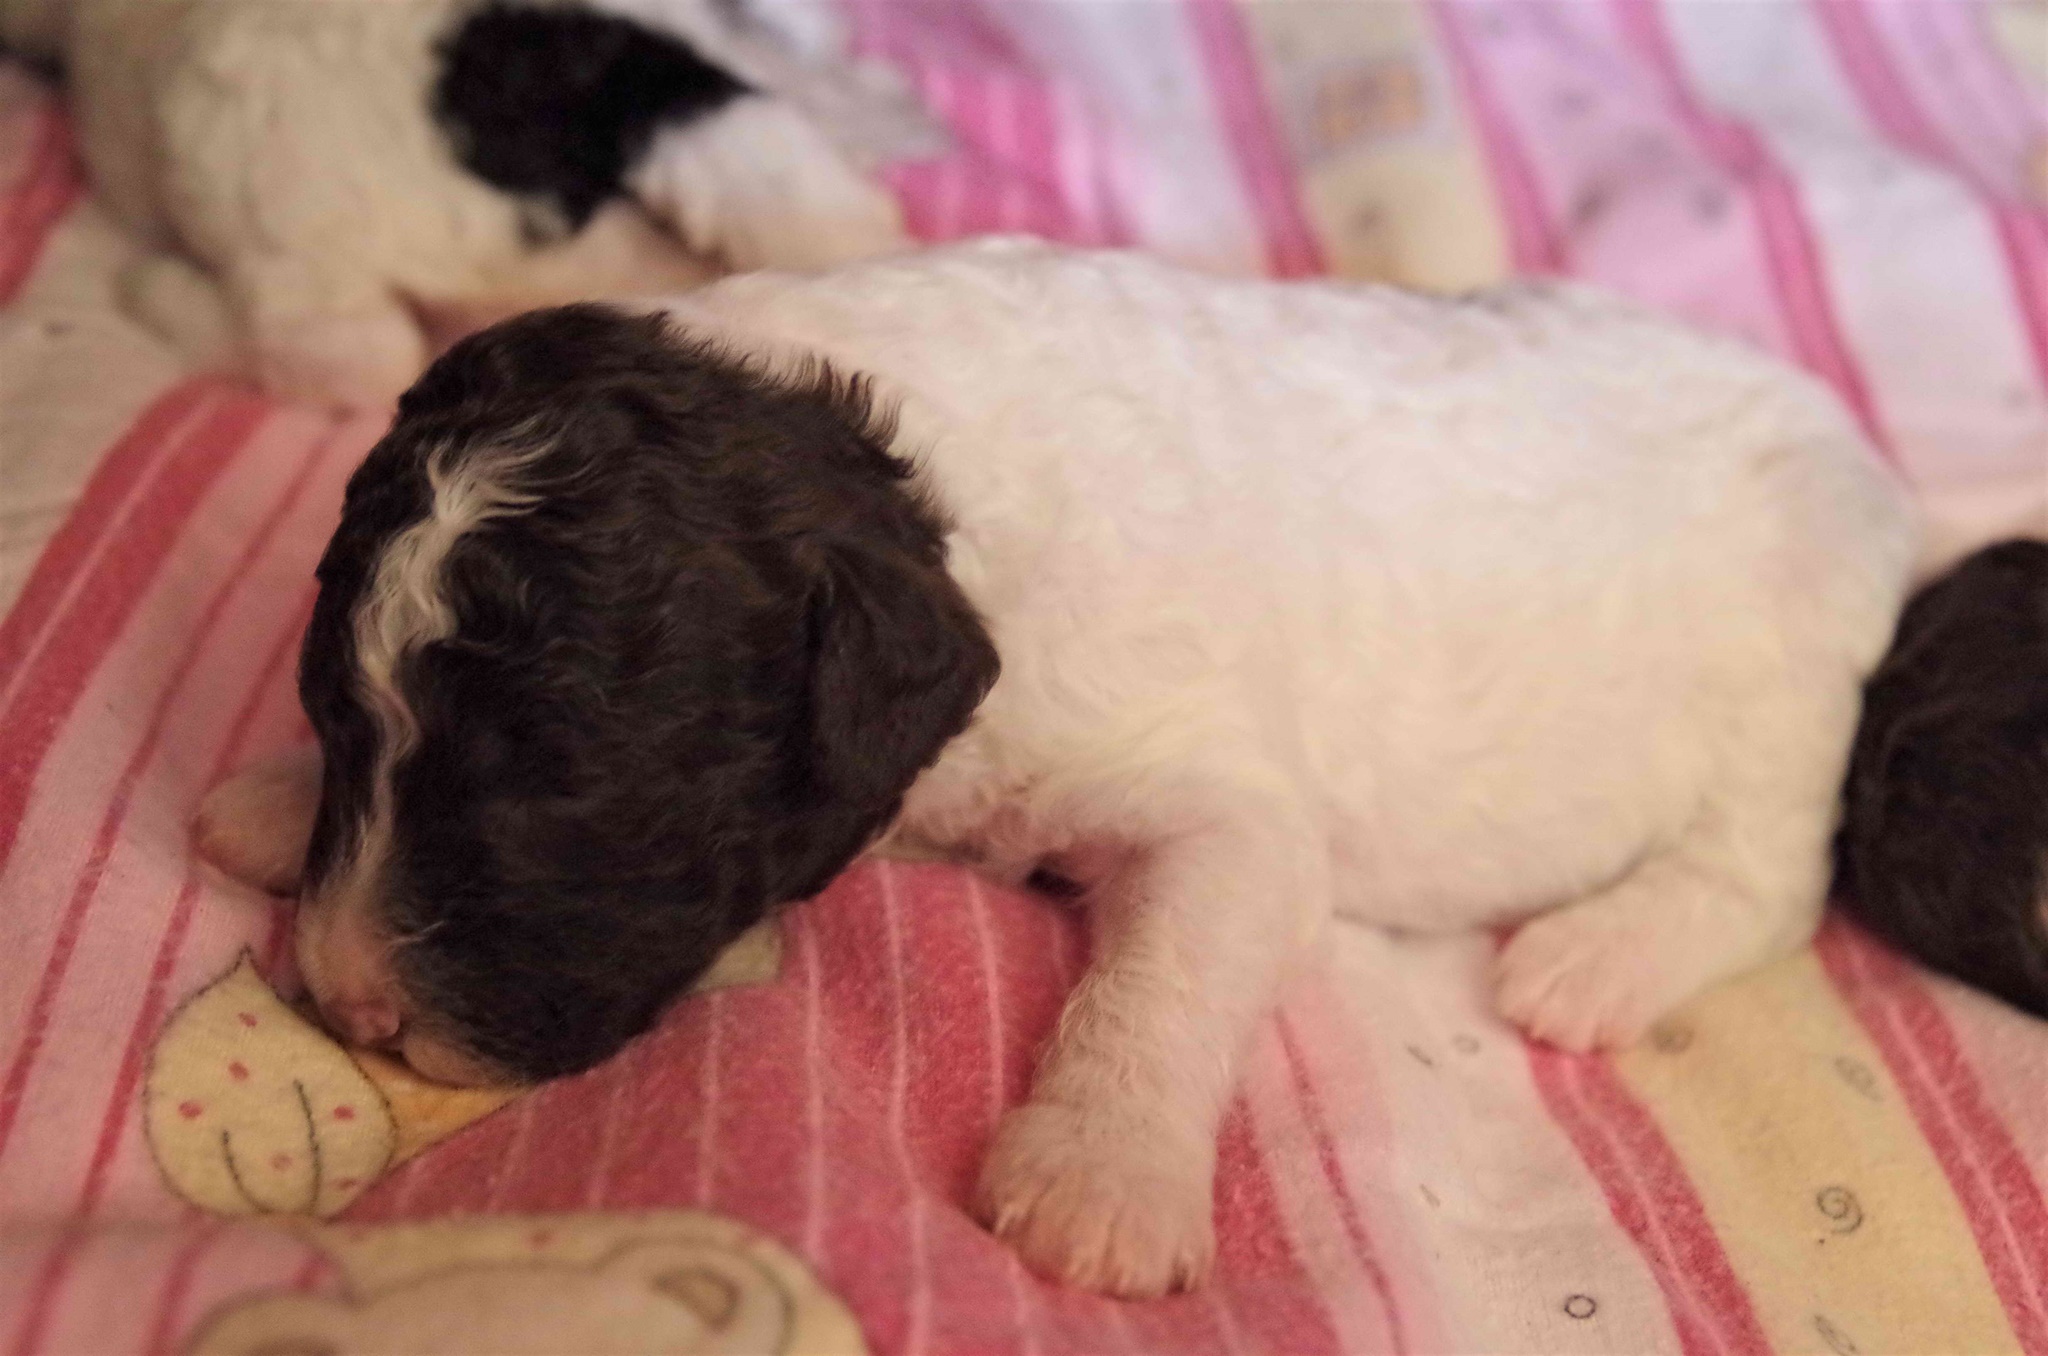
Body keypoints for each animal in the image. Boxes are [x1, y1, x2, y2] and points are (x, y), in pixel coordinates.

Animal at [196, 239, 1926, 1295]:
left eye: (563, 788)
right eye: (340, 715)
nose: (348, 1006)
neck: (921, 489)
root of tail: (1857, 444)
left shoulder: (1226, 799)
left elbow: (1169, 967)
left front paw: (1099, 1185)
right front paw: (273, 801)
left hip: (1792, 675)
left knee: (1770, 871)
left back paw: (1591, 959)